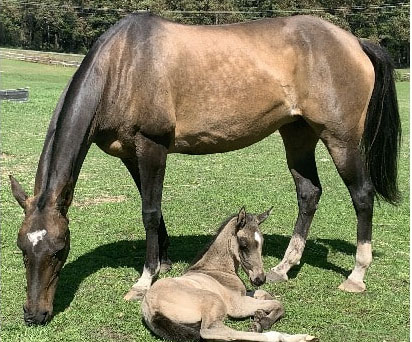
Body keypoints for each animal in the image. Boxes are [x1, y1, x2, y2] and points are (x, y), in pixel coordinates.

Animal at [11, 12, 400, 324]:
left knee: (361, 195)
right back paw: (284, 267)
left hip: (340, 138)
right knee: (309, 192)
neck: (124, 64)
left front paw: (144, 280)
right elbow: (154, 210)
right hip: (298, 133)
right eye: (22, 249)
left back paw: (356, 275)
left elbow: (149, 212)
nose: (35, 315)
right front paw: (164, 263)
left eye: (59, 249)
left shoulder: (151, 146)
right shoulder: (130, 154)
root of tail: (355, 42)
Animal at [142, 208, 316, 342]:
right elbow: (278, 303)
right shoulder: (237, 305)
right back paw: (286, 336)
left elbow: (265, 294)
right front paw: (262, 322)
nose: (260, 279)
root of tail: (150, 310)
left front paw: (260, 314)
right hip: (214, 301)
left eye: (262, 243)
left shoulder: (244, 294)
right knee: (212, 331)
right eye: (244, 245)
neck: (217, 269)